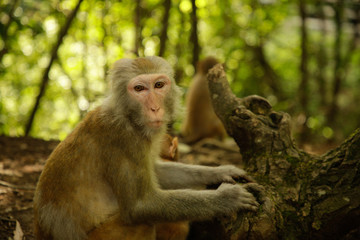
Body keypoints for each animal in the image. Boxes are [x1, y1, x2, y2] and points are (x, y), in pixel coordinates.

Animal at [33, 56, 258, 240]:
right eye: (139, 89)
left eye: (159, 85)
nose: (155, 108)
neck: (129, 117)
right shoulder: (123, 139)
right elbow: (140, 207)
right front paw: (227, 198)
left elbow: (157, 171)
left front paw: (222, 171)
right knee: (141, 224)